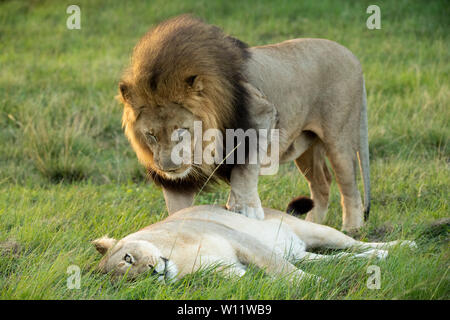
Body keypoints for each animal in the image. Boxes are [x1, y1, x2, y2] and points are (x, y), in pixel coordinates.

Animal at [118, 15, 370, 231]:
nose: (168, 167)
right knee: (322, 183)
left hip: (338, 139)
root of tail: (353, 57)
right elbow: (177, 206)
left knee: (349, 186)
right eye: (150, 135)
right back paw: (312, 223)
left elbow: (244, 170)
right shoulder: (178, 179)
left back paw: (352, 228)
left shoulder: (261, 114)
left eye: (181, 130)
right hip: (306, 146)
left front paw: (245, 210)